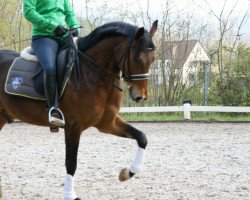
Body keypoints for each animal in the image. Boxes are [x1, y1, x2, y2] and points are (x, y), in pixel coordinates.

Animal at [0, 20, 157, 200]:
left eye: (153, 58)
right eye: (137, 58)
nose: (141, 96)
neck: (94, 73)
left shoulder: (107, 123)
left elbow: (142, 137)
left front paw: (127, 173)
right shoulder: (73, 127)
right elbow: (71, 163)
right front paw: (70, 195)